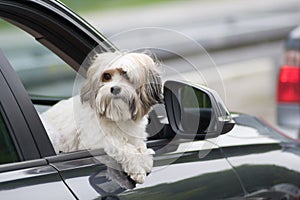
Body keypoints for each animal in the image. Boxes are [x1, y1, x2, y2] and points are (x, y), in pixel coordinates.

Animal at [41, 50, 162, 184]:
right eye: (107, 76)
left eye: (126, 76)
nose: (115, 88)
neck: (116, 116)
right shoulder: (94, 141)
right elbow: (122, 146)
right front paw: (137, 166)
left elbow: (140, 145)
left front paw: (145, 157)